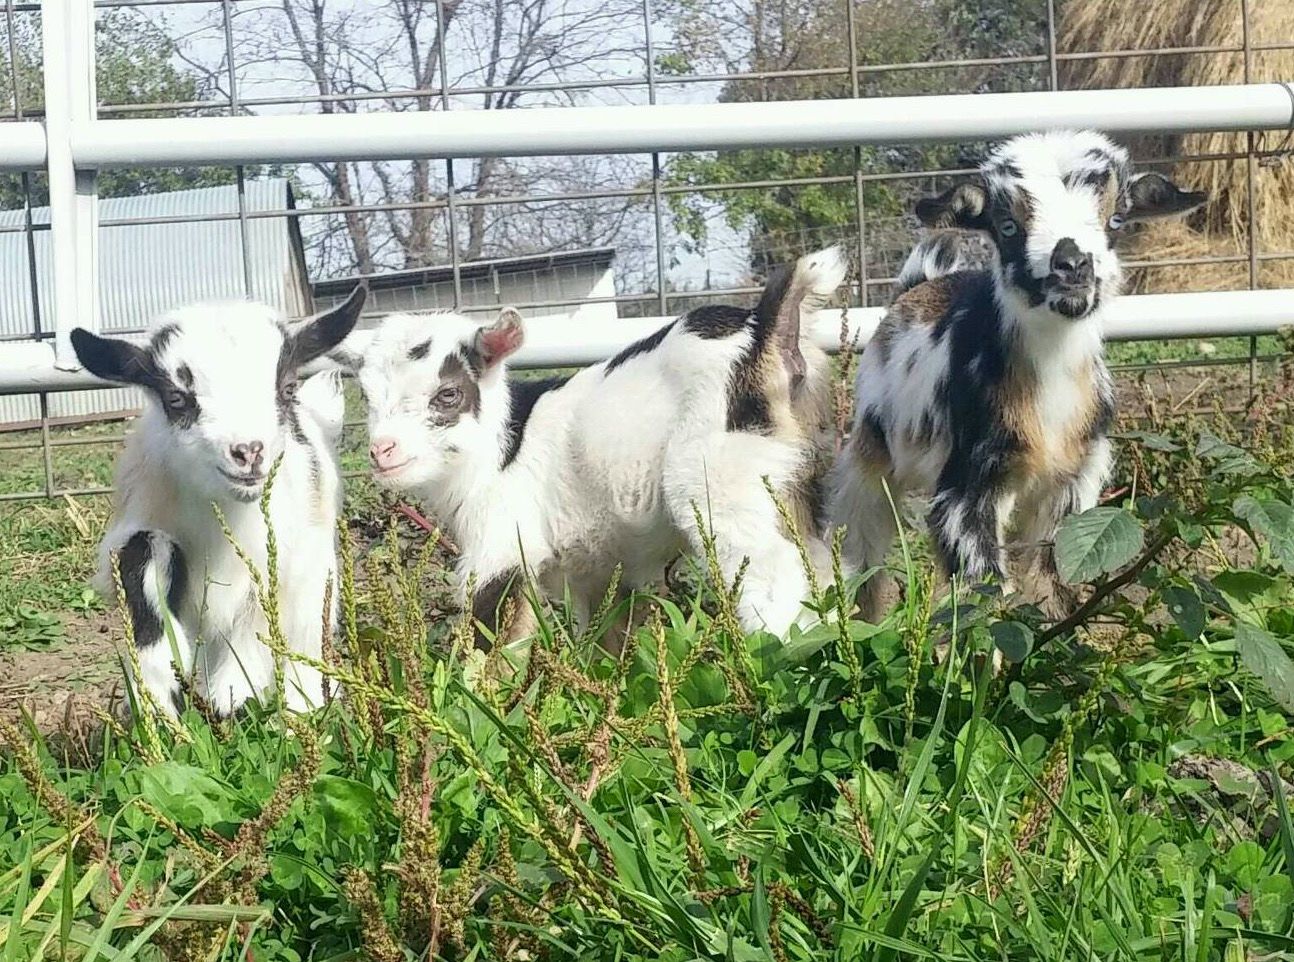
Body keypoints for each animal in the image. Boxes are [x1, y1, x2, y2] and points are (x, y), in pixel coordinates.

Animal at [71, 286, 367, 715]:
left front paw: (244, 697)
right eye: (176, 398)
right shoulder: (138, 520)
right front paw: (157, 695)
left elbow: (263, 628)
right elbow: (142, 557)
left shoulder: (281, 560)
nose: (248, 452)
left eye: (286, 389)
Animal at [344, 248, 846, 646]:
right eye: (366, 397)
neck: (501, 448)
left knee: (774, 573)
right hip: (792, 472)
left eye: (447, 394)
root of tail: (764, 331)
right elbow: (609, 636)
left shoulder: (503, 542)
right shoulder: (603, 571)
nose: (382, 451)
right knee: (818, 566)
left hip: (723, 475)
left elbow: (493, 641)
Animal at [828, 130, 1206, 617]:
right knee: (862, 549)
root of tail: (918, 285)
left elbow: (1054, 581)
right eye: (1006, 226)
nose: (1073, 265)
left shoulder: (1073, 485)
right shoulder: (968, 483)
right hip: (871, 455)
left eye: (1117, 219)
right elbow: (985, 594)